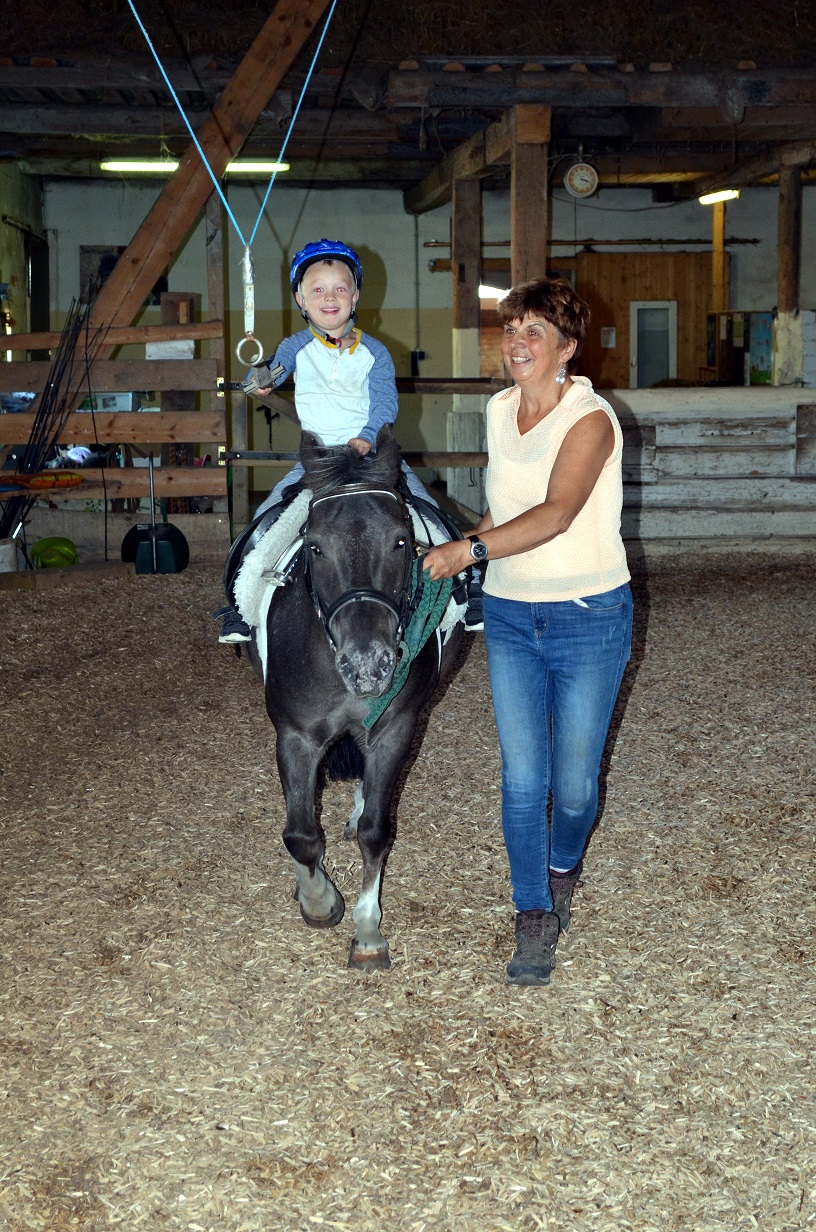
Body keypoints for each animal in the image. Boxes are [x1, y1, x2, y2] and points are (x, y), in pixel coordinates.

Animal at [230, 428, 465, 965]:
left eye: (402, 541)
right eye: (314, 547)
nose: (367, 666)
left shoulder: (394, 728)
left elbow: (378, 830)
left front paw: (367, 931)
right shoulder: (295, 736)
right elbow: (300, 834)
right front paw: (319, 900)